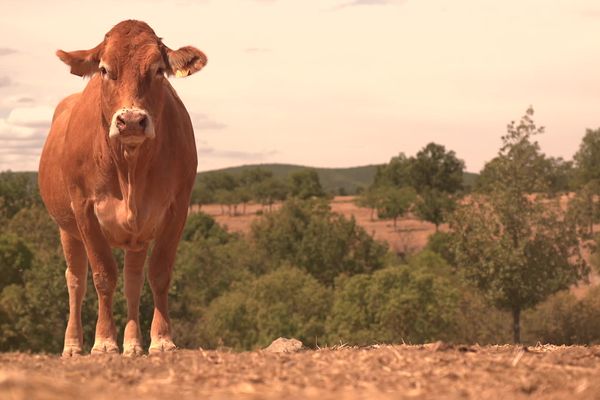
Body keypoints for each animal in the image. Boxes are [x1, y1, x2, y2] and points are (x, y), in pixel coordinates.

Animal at [38, 19, 206, 356]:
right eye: (104, 69)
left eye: (158, 69)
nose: (130, 120)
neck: (130, 169)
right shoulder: (85, 210)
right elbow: (103, 275)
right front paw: (104, 341)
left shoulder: (177, 209)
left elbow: (159, 273)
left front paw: (161, 338)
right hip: (67, 228)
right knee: (75, 280)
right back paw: (73, 344)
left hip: (136, 238)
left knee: (132, 281)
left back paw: (132, 343)